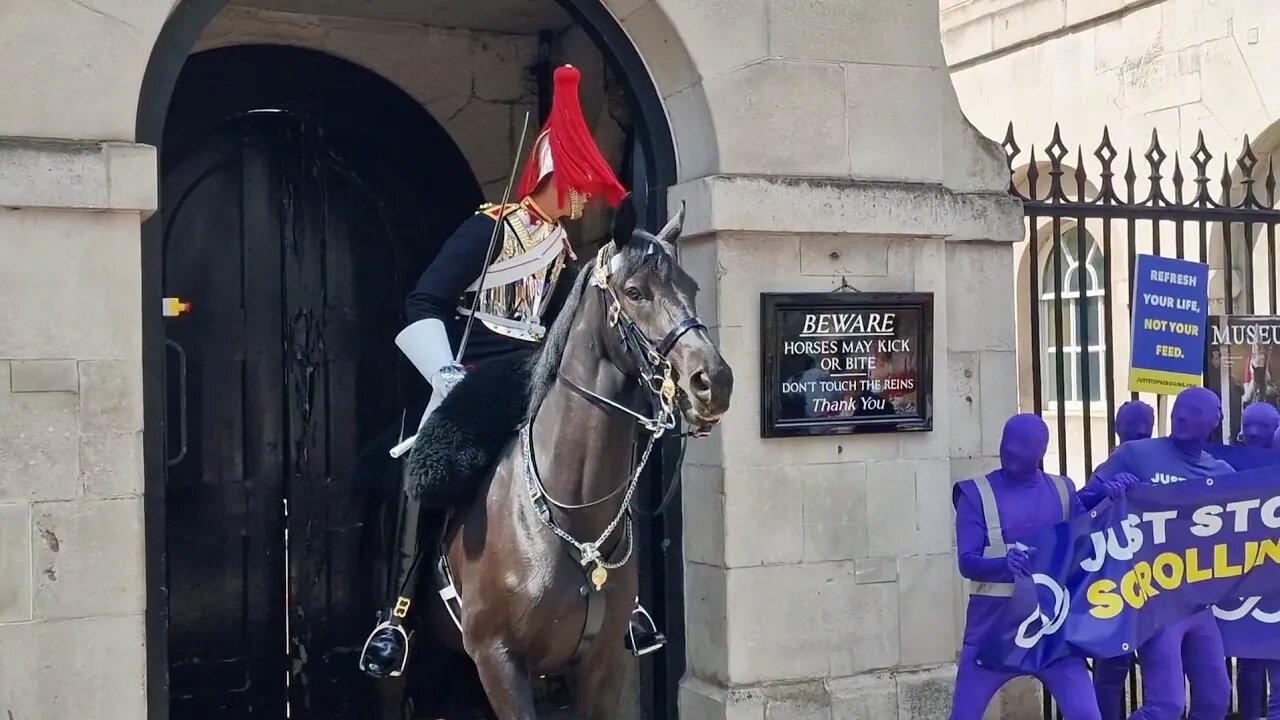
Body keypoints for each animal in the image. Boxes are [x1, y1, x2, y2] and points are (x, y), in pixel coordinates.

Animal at [358, 192, 732, 717]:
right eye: (635, 292)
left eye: (692, 286)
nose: (713, 382)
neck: (573, 517)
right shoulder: (499, 660)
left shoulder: (600, 667)